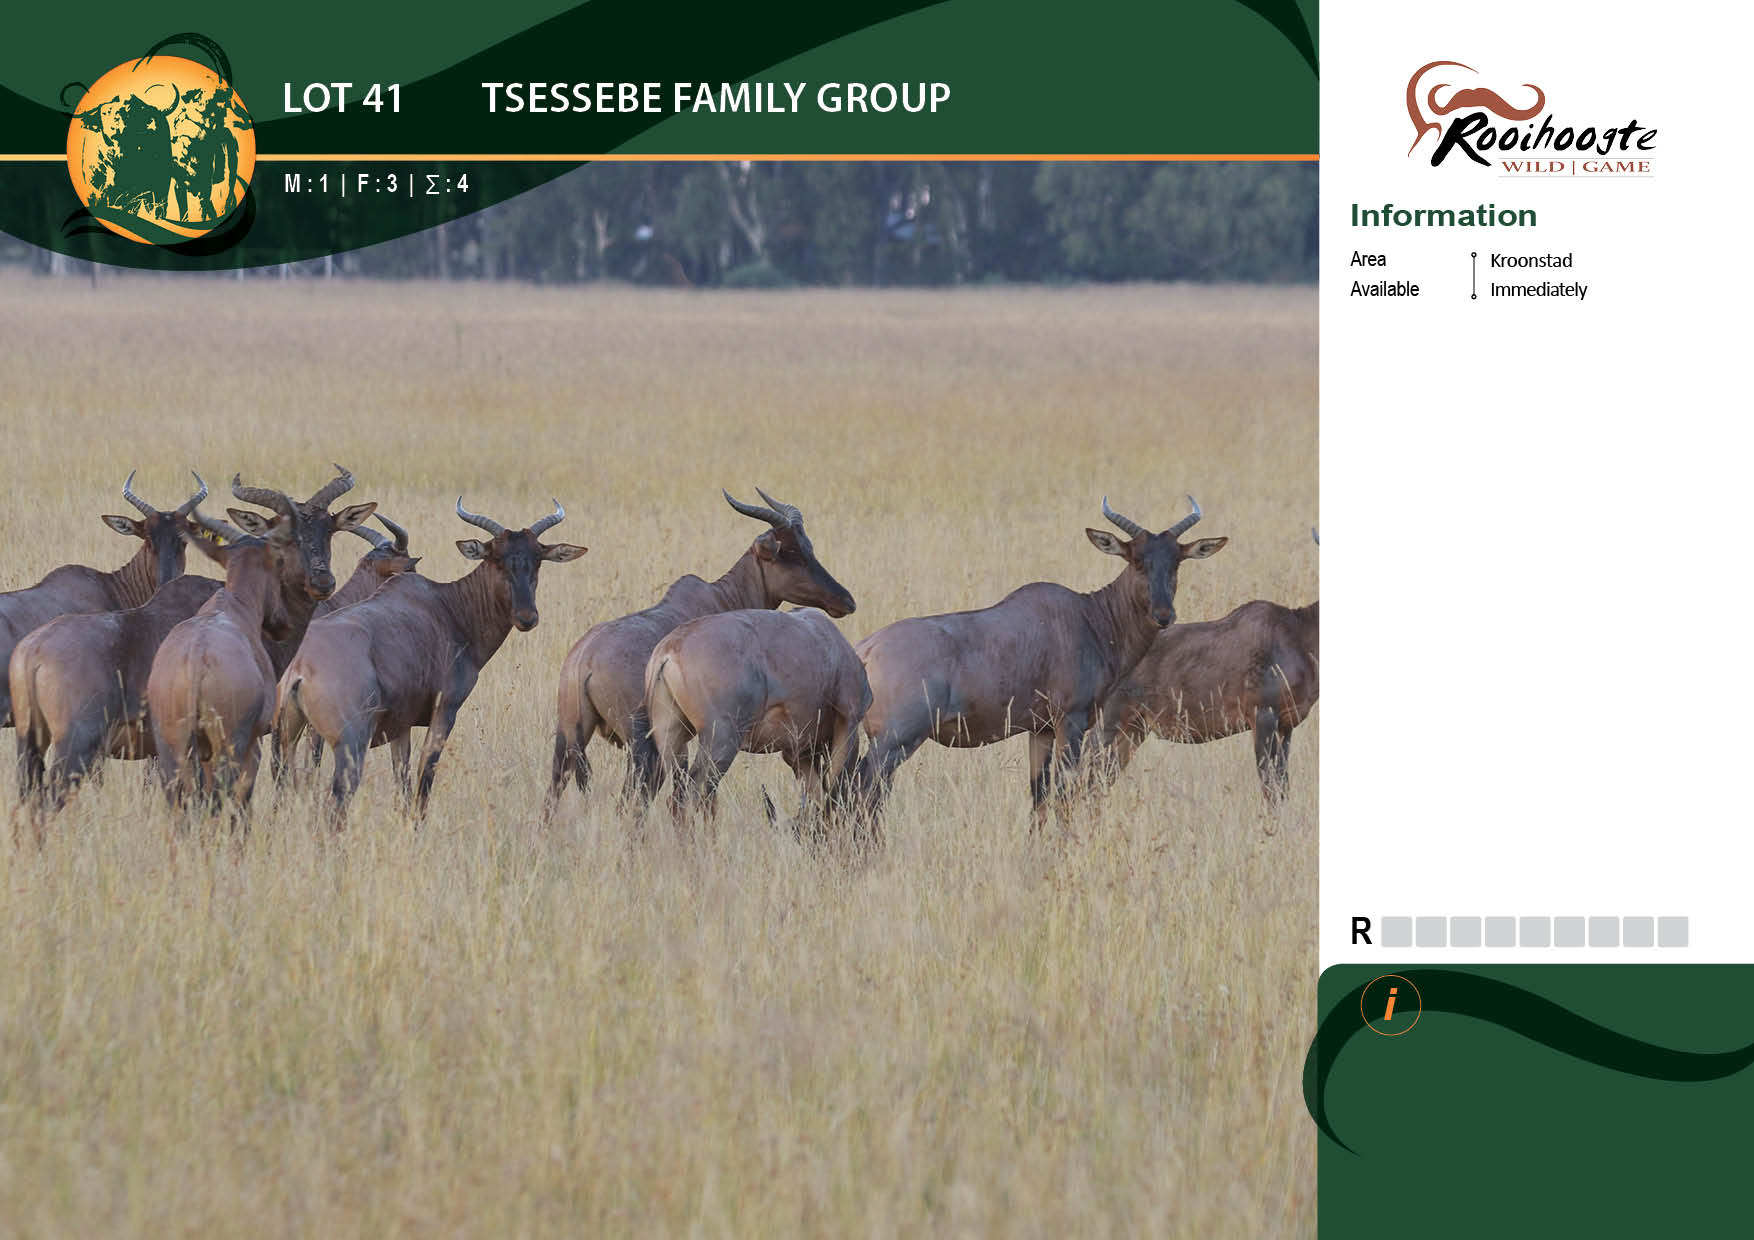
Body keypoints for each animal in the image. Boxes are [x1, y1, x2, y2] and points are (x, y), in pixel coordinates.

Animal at [273, 499, 585, 821]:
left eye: (537, 559)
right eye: (496, 558)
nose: (527, 618)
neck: (447, 607)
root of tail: (299, 669)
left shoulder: (401, 726)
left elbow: (403, 784)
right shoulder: (444, 710)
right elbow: (425, 780)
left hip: (288, 742)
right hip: (349, 743)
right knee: (335, 803)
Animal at [546, 487, 855, 818]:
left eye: (808, 546)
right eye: (791, 553)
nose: (846, 601)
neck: (719, 598)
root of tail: (584, 663)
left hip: (569, 735)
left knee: (554, 793)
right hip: (643, 744)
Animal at [645, 607, 870, 836]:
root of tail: (667, 651)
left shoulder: (799, 753)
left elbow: (817, 797)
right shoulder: (847, 725)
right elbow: (835, 792)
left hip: (672, 738)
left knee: (678, 797)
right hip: (720, 741)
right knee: (687, 798)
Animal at [856, 497, 1226, 824]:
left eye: (1176, 561)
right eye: (1136, 560)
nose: (1164, 616)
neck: (1088, 616)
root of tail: (867, 649)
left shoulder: (1041, 730)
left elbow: (1039, 796)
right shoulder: (1071, 722)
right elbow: (1064, 794)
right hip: (896, 740)